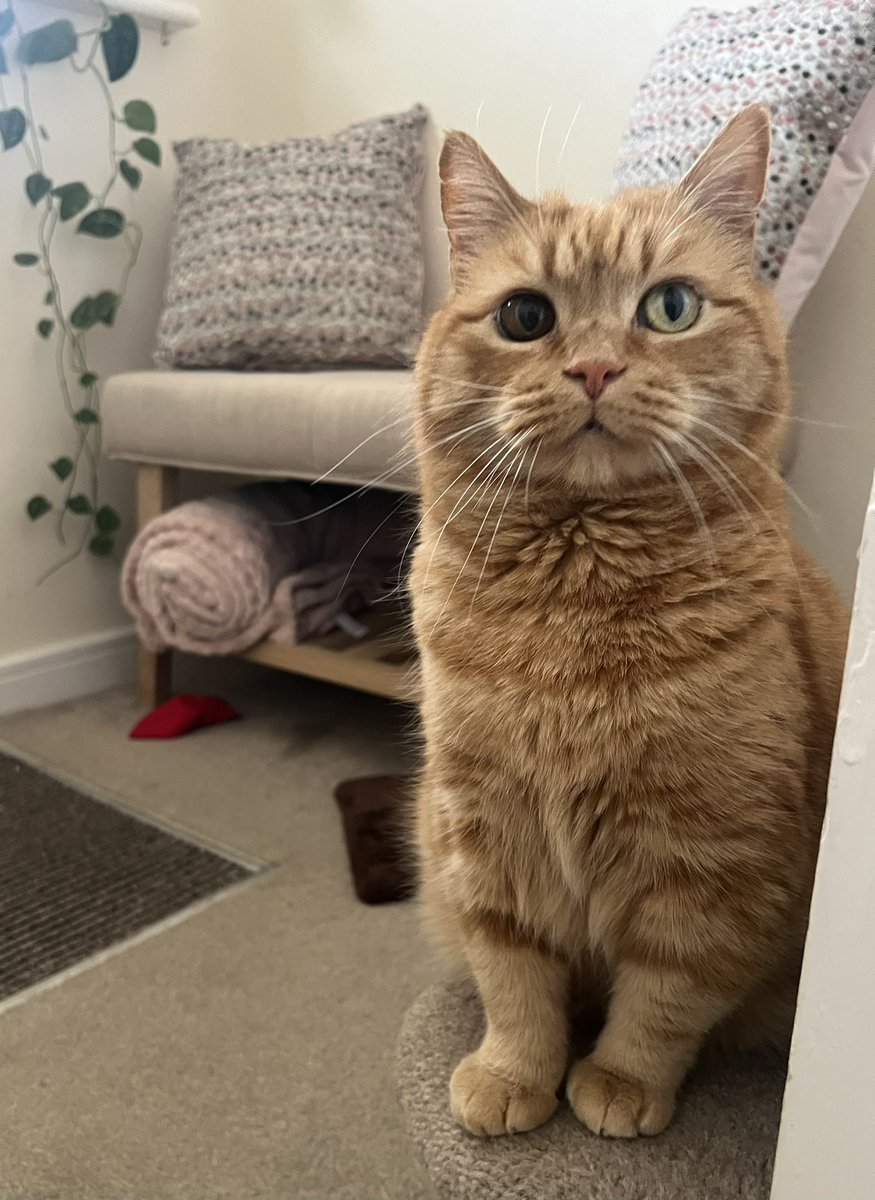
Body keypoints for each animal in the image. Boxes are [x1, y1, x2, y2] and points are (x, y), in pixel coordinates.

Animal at [410, 105, 844, 1142]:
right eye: (525, 317)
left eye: (670, 307)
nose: (596, 367)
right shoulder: (479, 830)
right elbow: (511, 975)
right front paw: (514, 1072)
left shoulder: (718, 861)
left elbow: (667, 994)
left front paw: (618, 1081)